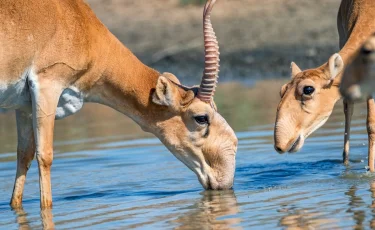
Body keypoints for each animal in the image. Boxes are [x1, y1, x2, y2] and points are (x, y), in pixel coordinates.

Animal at [0, 0, 238, 208]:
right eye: (201, 118)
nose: (225, 179)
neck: (78, 22)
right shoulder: (47, 86)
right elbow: (45, 156)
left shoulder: (24, 107)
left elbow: (24, 155)